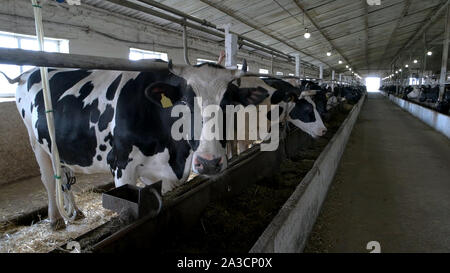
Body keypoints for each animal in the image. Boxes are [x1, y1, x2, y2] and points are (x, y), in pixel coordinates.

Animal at [1, 61, 268, 230]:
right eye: (183, 101)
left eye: (230, 102)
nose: (209, 162)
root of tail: (28, 72)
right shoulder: (121, 166)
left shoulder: (164, 174)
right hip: (36, 142)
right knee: (49, 179)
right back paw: (56, 219)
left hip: (59, 146)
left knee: (64, 176)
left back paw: (75, 212)